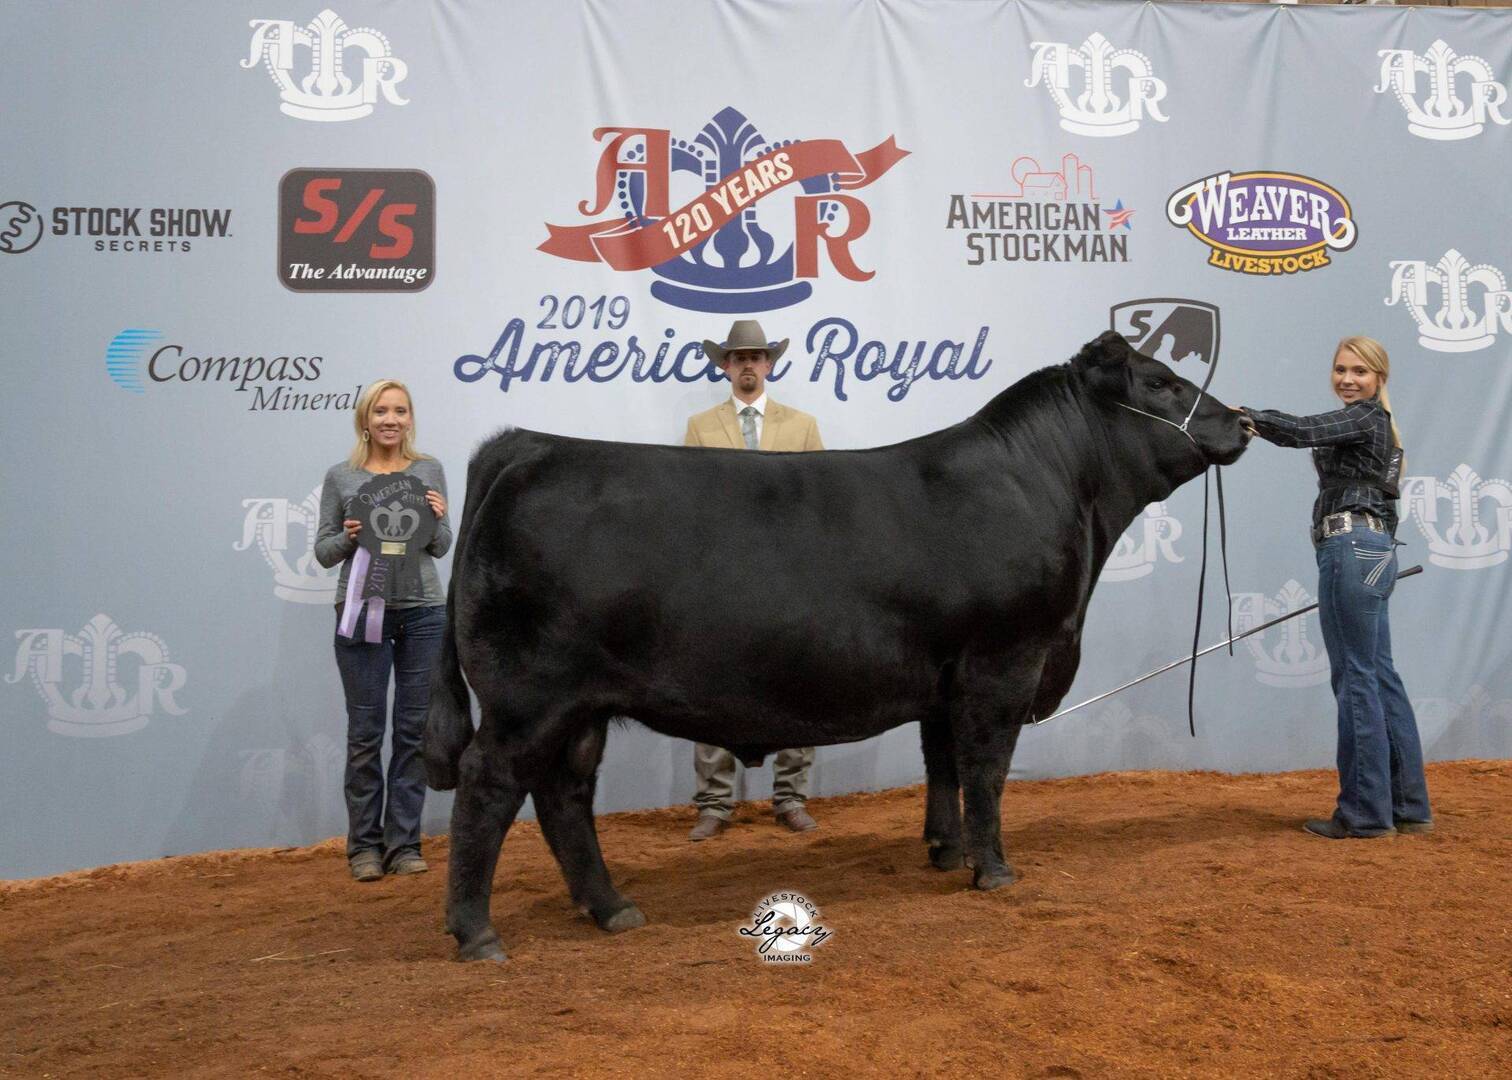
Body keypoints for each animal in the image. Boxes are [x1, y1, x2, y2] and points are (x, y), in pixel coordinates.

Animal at [423, 330, 1250, 962]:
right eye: (1161, 382)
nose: (1242, 421)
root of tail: (527, 446)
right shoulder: (1003, 663)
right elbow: (986, 771)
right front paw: (992, 870)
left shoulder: (946, 678)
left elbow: (942, 764)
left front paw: (945, 851)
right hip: (527, 697)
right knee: (489, 787)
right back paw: (476, 932)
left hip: (580, 706)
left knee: (564, 795)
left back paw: (610, 906)